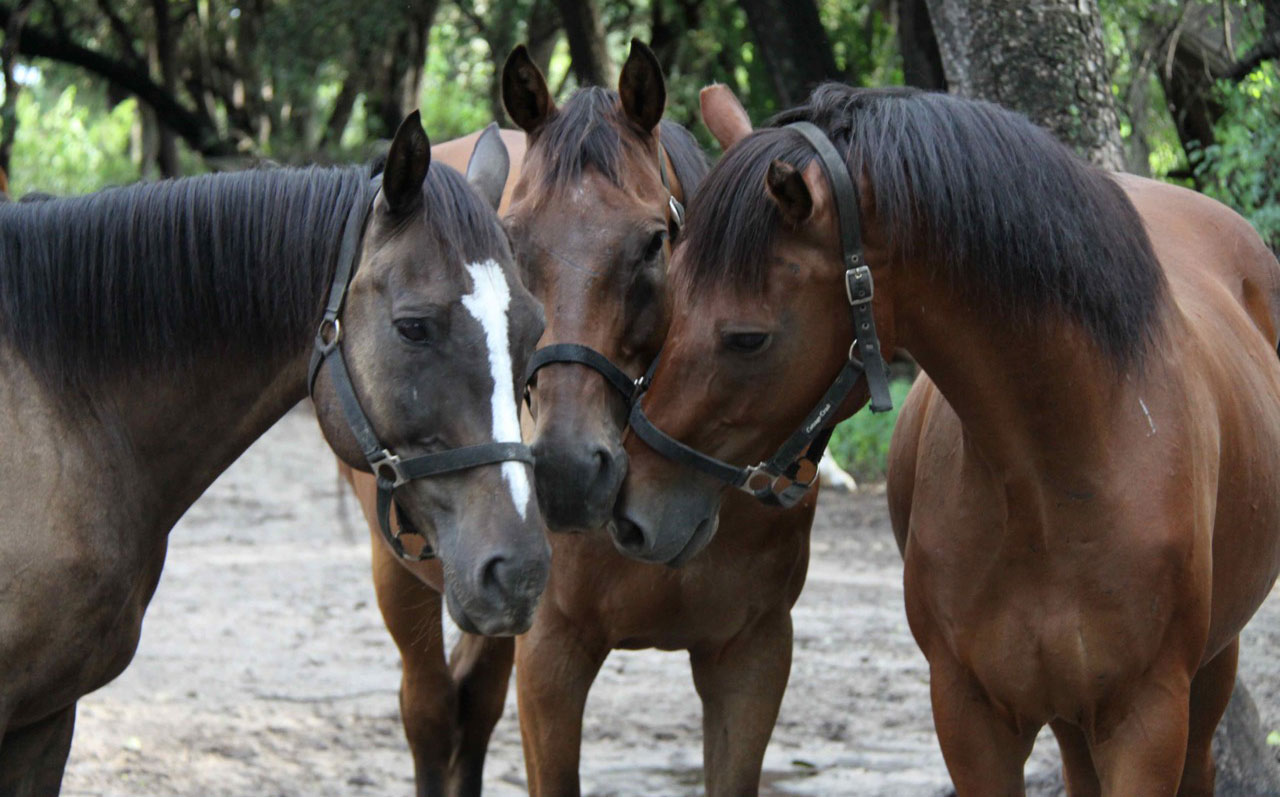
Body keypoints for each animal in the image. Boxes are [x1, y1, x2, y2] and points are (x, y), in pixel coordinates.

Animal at [344, 41, 819, 796]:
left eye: (655, 241)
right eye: (511, 240)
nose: (567, 471)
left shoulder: (753, 655)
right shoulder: (552, 657)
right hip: (404, 574)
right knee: (430, 712)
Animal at [615, 81, 1280, 795]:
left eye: (747, 338)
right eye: (672, 300)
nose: (629, 513)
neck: (1060, 478)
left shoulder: (1145, 723)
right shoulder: (969, 717)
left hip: (1205, 680)